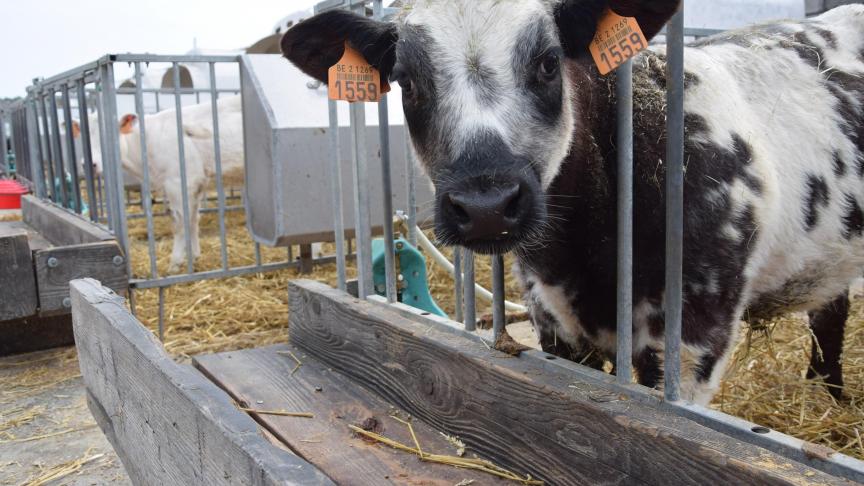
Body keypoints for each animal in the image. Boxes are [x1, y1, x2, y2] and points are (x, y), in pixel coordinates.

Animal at [284, 0, 864, 402]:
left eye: (547, 63)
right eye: (406, 81)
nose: (486, 204)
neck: (591, 250)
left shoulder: (698, 333)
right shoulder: (553, 323)